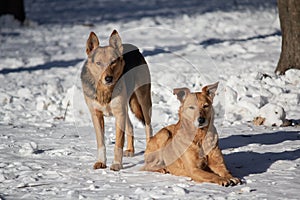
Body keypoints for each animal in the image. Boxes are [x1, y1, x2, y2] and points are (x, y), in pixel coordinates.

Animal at [81, 30, 152, 171]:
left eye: (113, 62)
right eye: (99, 63)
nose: (108, 78)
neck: (104, 91)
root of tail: (135, 49)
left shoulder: (119, 114)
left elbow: (118, 143)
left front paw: (117, 164)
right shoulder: (96, 115)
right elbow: (101, 143)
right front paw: (101, 162)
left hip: (143, 102)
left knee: (148, 127)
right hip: (126, 108)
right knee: (130, 126)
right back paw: (130, 150)